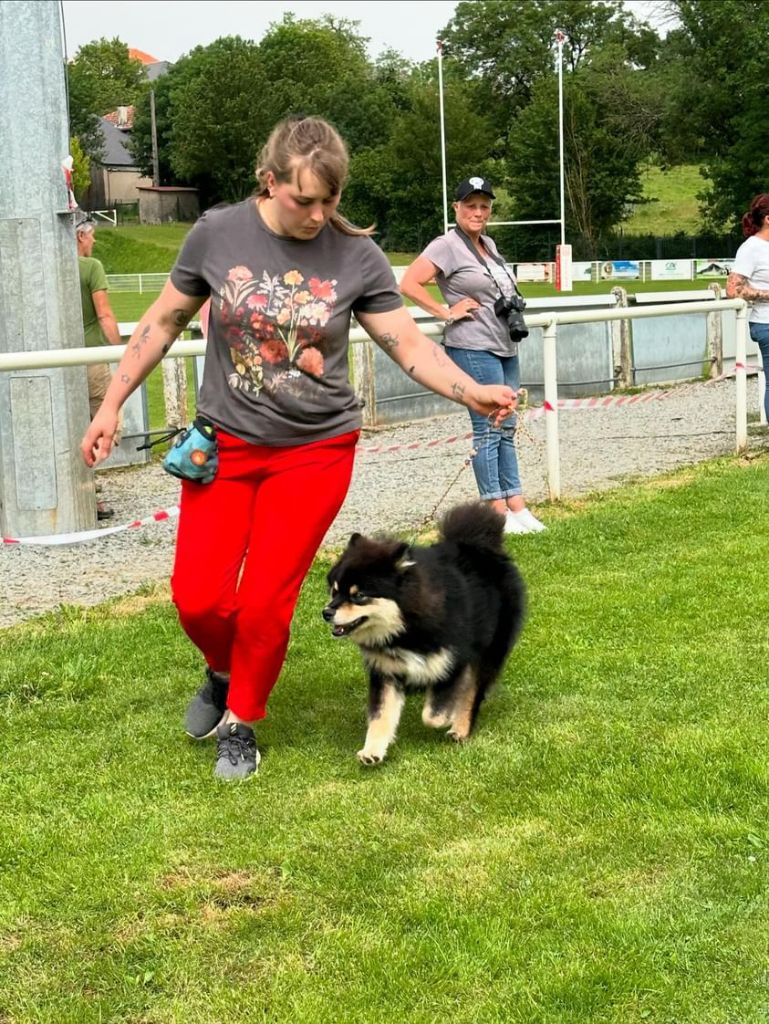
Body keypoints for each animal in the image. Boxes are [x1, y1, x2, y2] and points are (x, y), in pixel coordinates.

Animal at [321, 499, 528, 765]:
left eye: (359, 595)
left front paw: (446, 716)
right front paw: (373, 751)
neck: (406, 629)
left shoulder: (452, 661)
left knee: (472, 692)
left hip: (489, 649)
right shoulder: (386, 671)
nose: (326, 612)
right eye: (335, 591)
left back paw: (460, 728)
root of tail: (480, 546)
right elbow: (381, 716)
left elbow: (433, 713)